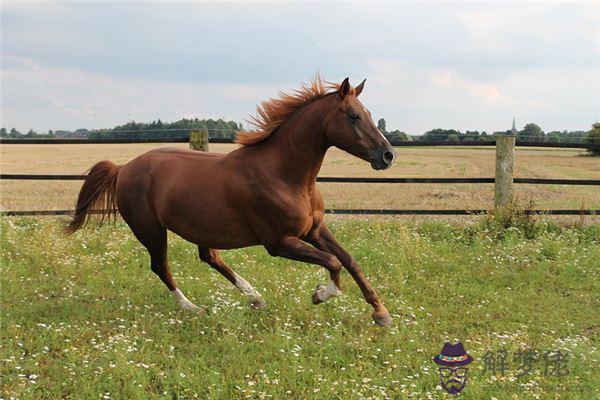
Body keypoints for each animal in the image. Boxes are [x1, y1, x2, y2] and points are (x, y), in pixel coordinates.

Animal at [65, 76, 396, 326]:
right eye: (354, 116)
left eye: (369, 113)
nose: (388, 155)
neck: (284, 174)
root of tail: (123, 168)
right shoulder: (278, 242)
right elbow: (332, 261)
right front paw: (320, 295)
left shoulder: (314, 230)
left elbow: (349, 260)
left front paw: (381, 313)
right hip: (150, 230)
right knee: (161, 266)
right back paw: (192, 307)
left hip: (200, 227)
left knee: (209, 258)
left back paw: (255, 297)